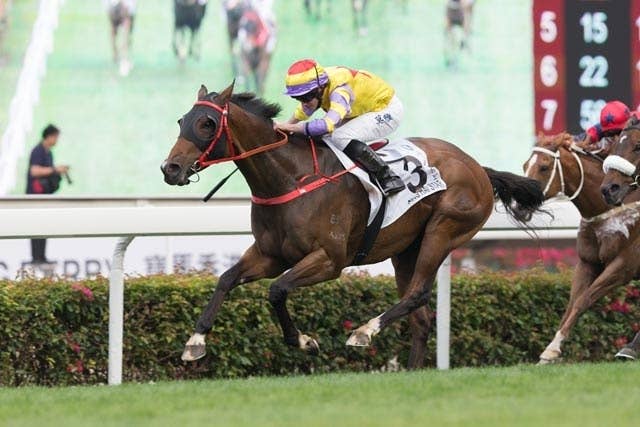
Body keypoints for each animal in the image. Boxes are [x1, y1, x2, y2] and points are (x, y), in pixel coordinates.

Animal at [161, 83, 546, 369]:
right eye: (181, 120)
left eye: (207, 123)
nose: (170, 169)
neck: (291, 177)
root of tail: (478, 167)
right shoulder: (270, 255)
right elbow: (226, 279)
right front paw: (195, 341)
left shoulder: (329, 260)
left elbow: (278, 290)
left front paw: (304, 341)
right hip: (407, 249)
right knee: (419, 316)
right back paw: (411, 372)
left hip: (444, 230)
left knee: (418, 293)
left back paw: (364, 331)